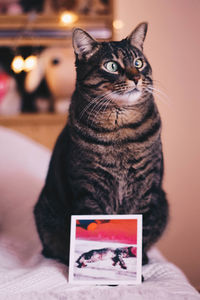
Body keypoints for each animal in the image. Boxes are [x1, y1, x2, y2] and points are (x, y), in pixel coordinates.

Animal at [34, 23, 169, 268]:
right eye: (112, 66)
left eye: (138, 63)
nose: (136, 77)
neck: (120, 130)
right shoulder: (90, 186)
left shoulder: (144, 185)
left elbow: (141, 226)